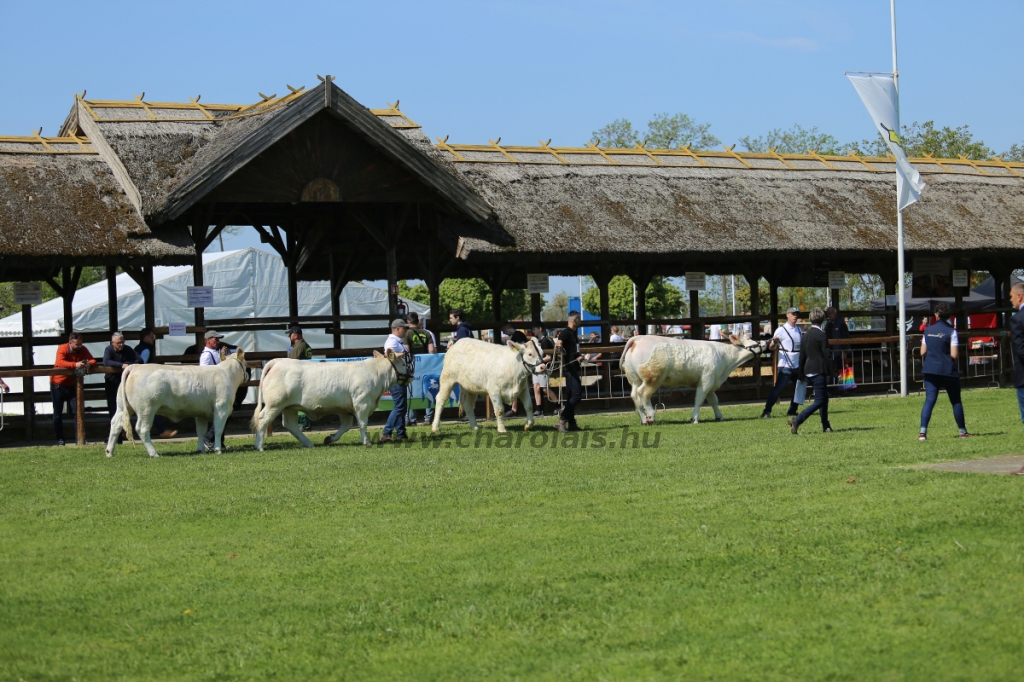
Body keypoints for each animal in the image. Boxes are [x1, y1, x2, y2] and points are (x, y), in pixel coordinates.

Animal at [105, 346, 247, 456]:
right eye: (246, 363)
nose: (246, 376)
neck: (226, 374)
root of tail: (134, 367)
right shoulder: (221, 408)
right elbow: (218, 429)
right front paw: (218, 449)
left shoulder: (200, 412)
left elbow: (201, 431)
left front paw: (200, 449)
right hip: (146, 409)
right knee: (142, 429)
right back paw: (154, 453)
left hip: (123, 406)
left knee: (116, 424)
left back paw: (109, 452)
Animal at [251, 348, 411, 448]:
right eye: (403, 363)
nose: (411, 375)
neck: (375, 373)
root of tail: (277, 361)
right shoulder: (362, 403)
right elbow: (363, 423)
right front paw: (366, 442)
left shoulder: (345, 410)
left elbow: (346, 426)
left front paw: (330, 438)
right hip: (275, 404)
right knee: (263, 419)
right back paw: (259, 446)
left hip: (289, 407)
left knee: (290, 425)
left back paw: (309, 443)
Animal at [614, 331, 770, 421]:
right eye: (751, 339)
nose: (766, 341)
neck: (726, 359)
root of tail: (638, 338)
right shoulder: (706, 380)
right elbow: (699, 400)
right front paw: (694, 419)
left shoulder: (712, 382)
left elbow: (714, 400)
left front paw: (719, 416)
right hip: (653, 379)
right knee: (644, 394)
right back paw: (651, 416)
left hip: (634, 379)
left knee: (635, 396)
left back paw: (644, 419)